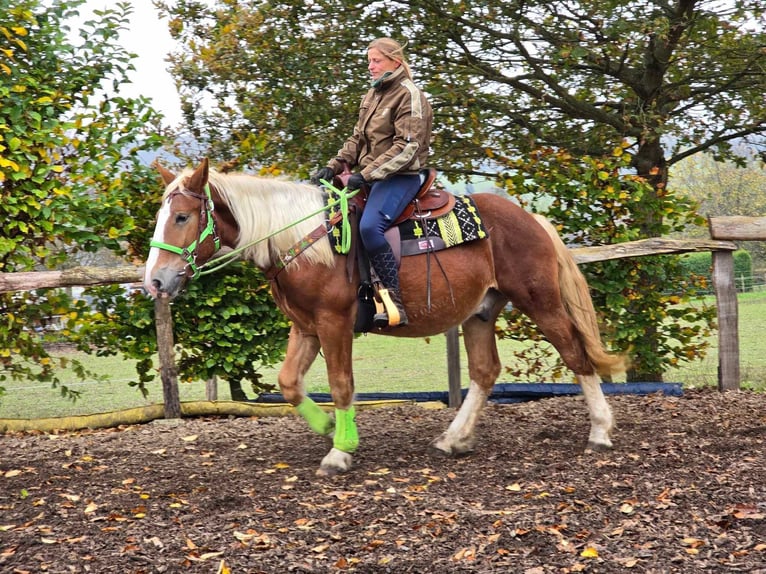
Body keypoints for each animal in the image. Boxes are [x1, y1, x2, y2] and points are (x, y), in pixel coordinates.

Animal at [144, 158, 624, 476]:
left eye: (182, 216)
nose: (156, 281)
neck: (304, 240)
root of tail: (531, 219)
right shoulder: (306, 327)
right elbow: (289, 383)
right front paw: (327, 428)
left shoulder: (334, 323)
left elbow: (341, 385)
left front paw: (340, 450)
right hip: (481, 313)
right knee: (485, 372)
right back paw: (454, 439)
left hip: (540, 300)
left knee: (577, 355)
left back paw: (600, 432)